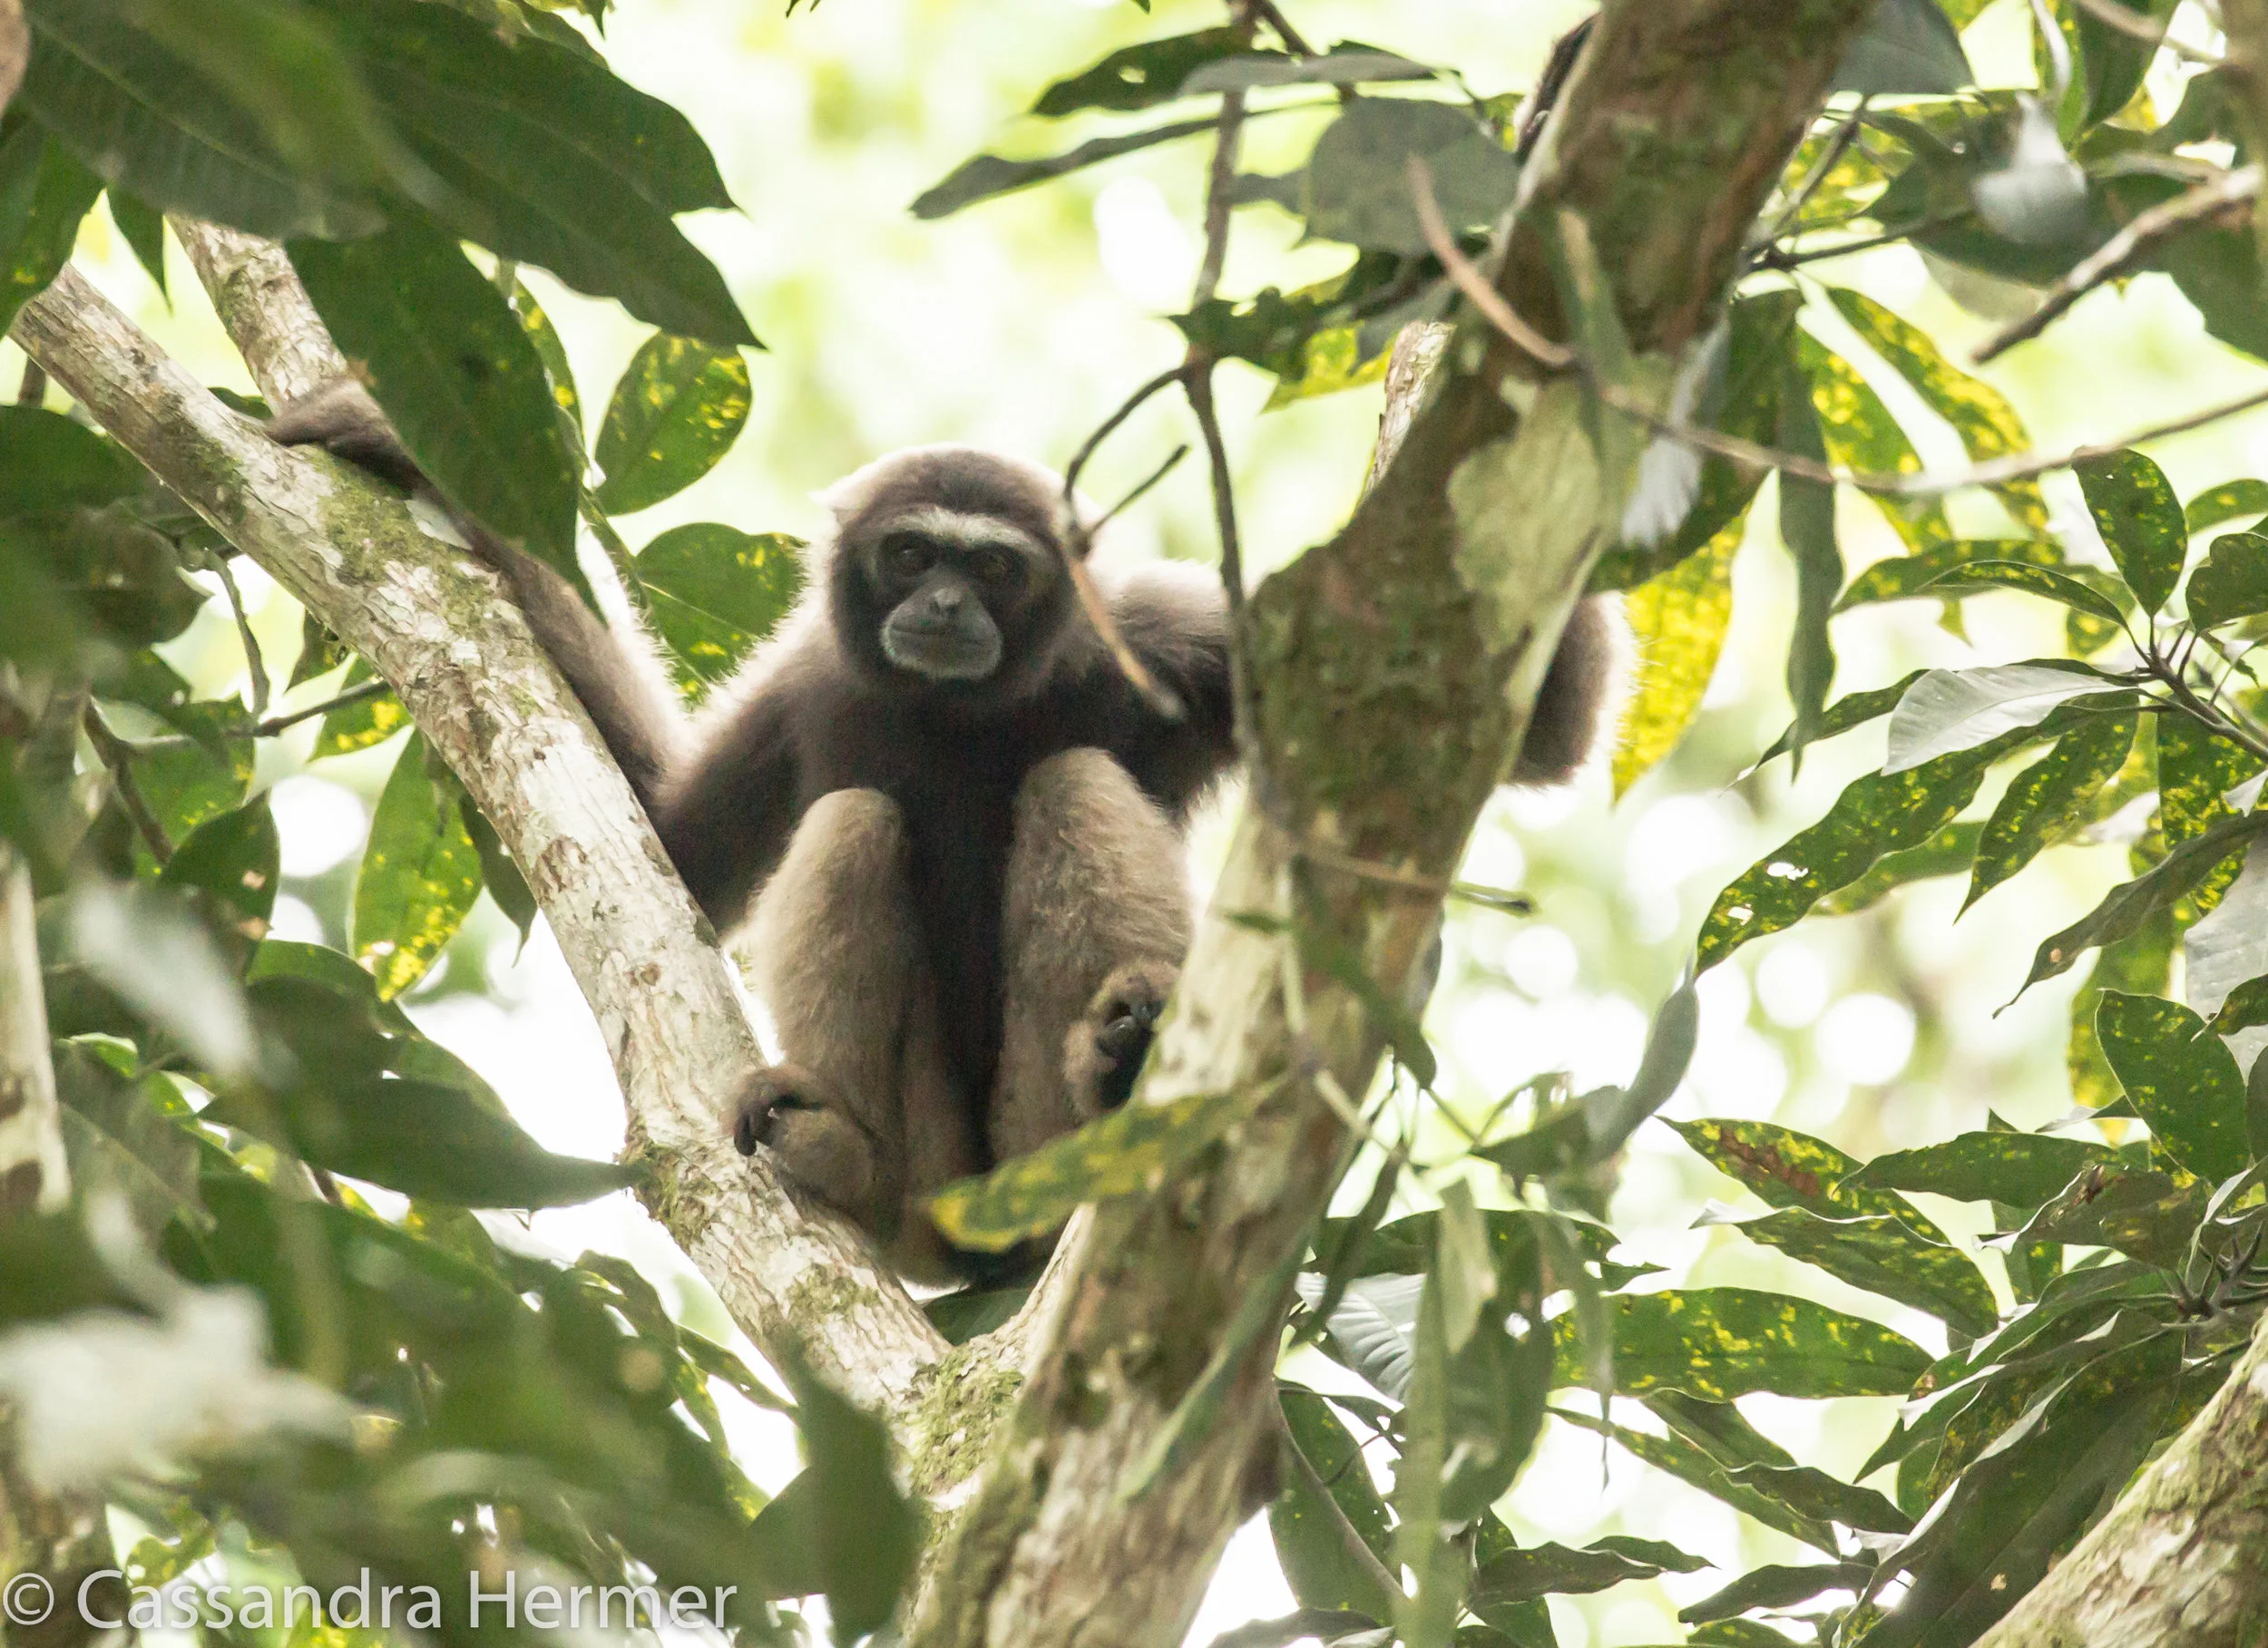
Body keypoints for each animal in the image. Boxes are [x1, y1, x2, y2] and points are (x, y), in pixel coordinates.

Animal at [267, 380, 1624, 1281]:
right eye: (913, 552)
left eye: (998, 568)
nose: (945, 602)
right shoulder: (812, 679)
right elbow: (665, 838)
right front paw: (419, 456)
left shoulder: (1157, 638)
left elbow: (1535, 722)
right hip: (935, 1183)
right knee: (855, 818)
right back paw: (853, 1159)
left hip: (1023, 1138)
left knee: (1068, 779)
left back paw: (1115, 1072)